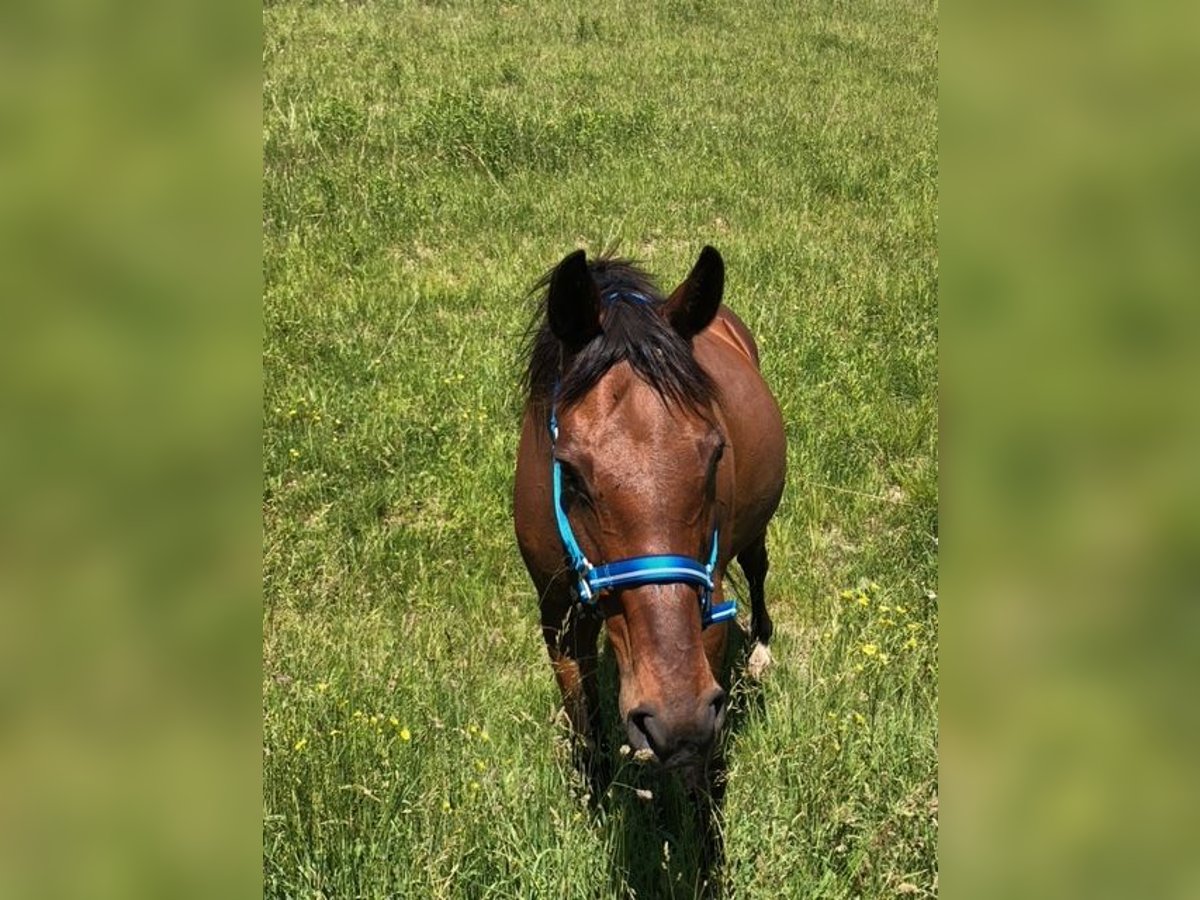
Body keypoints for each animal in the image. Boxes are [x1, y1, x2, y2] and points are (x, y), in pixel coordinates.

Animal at [513, 247, 787, 782]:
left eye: (715, 453)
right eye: (568, 470)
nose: (673, 716)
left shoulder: (708, 618)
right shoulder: (558, 619)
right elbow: (585, 722)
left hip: (755, 534)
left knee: (758, 570)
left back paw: (761, 649)